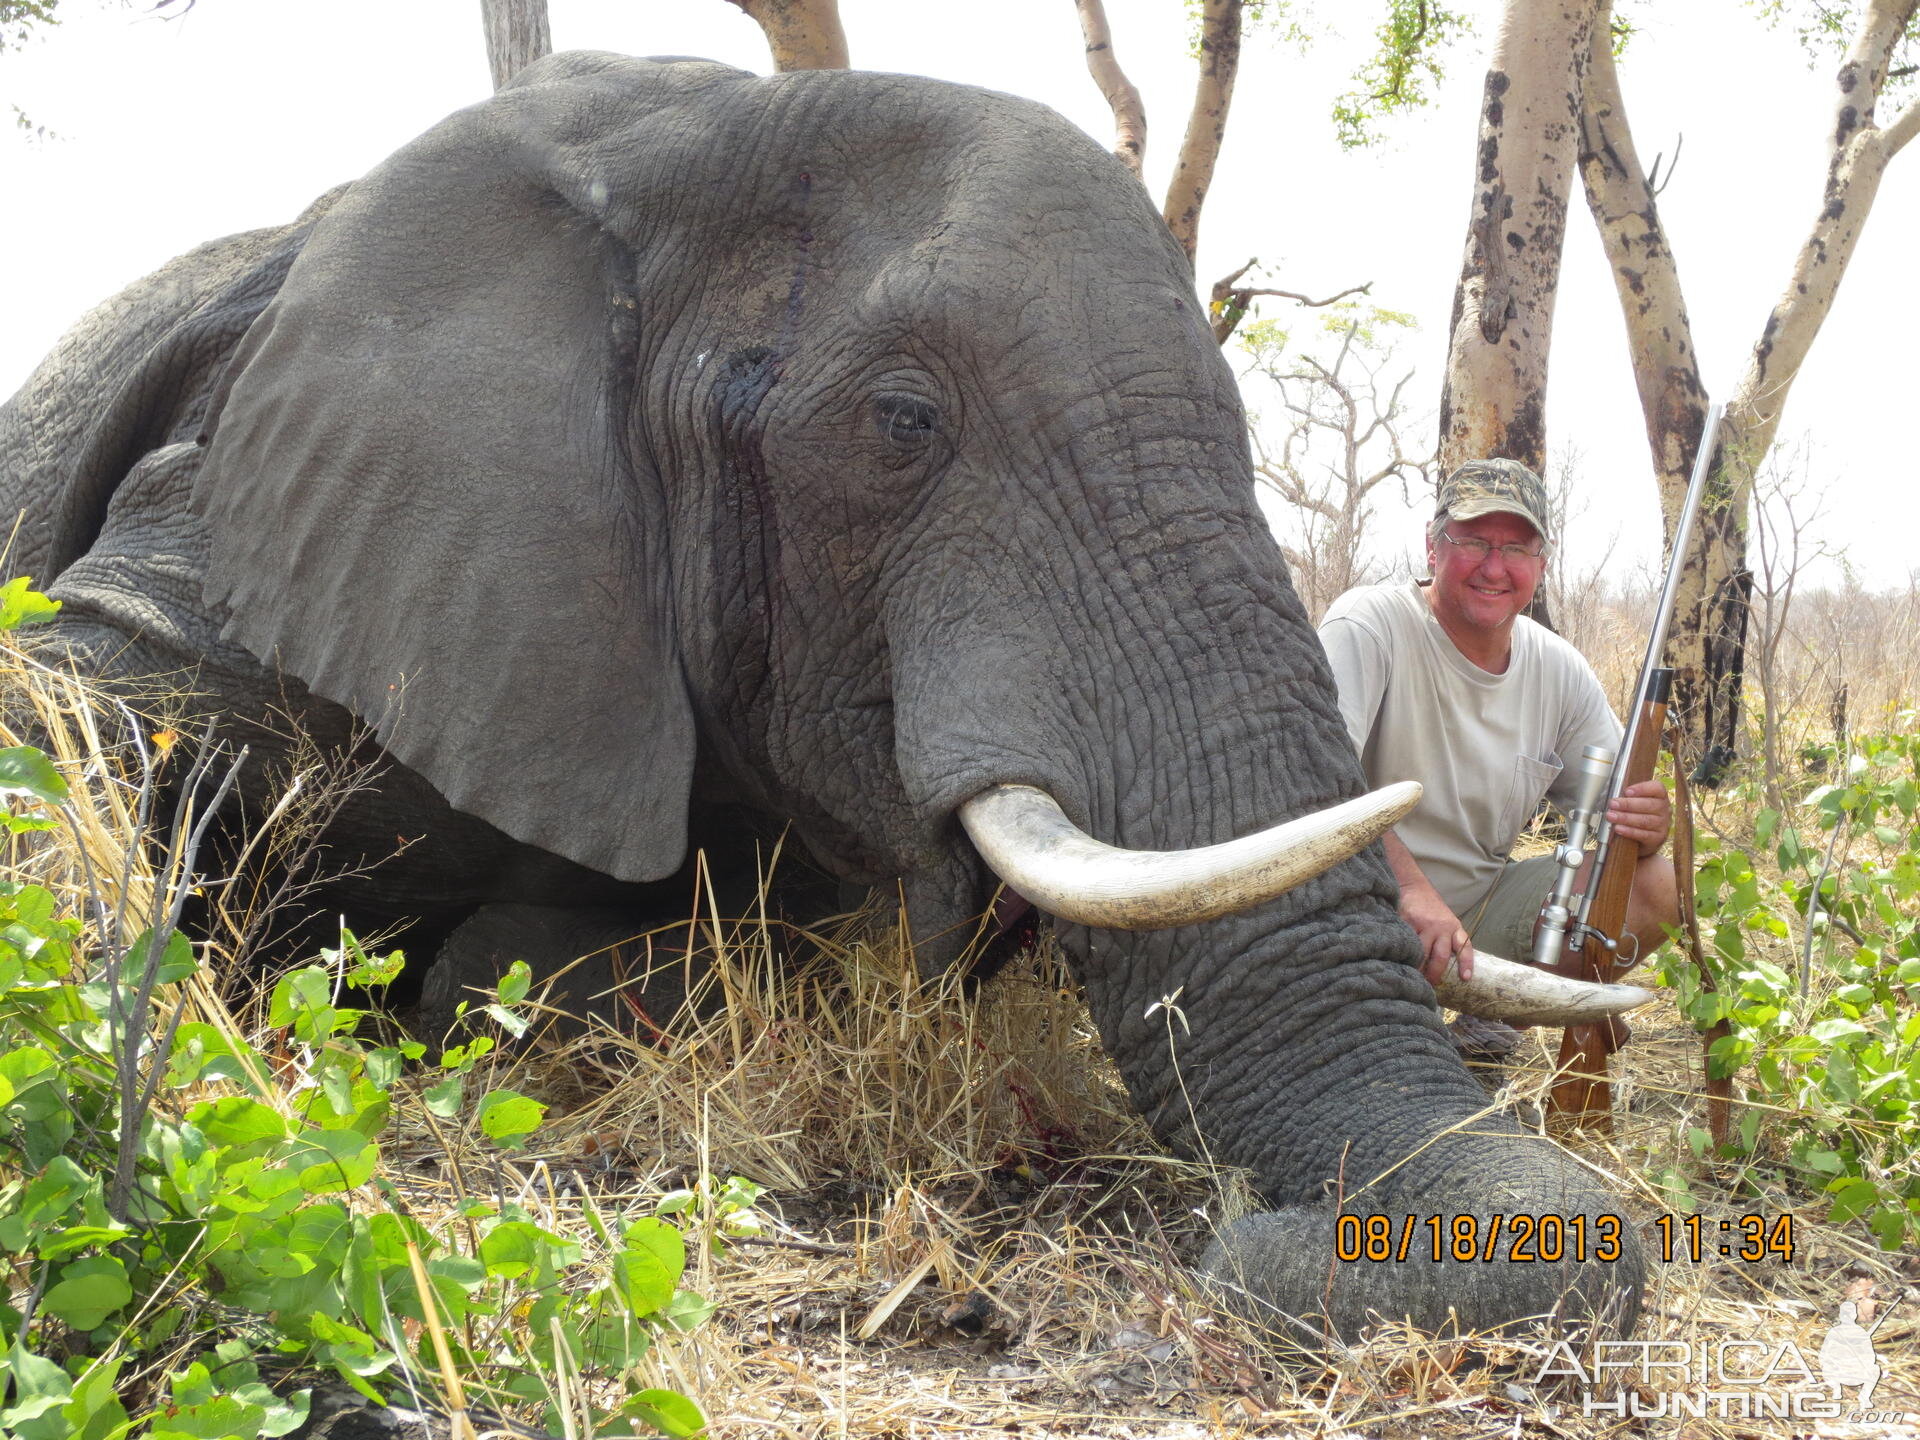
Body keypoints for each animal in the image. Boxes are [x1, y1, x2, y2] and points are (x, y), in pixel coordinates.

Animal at [3, 53, 1651, 1344]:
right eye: (902, 424)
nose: (1260, 1244)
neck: (674, 142)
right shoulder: (254, 480)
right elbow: (68, 732)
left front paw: (492, 964)